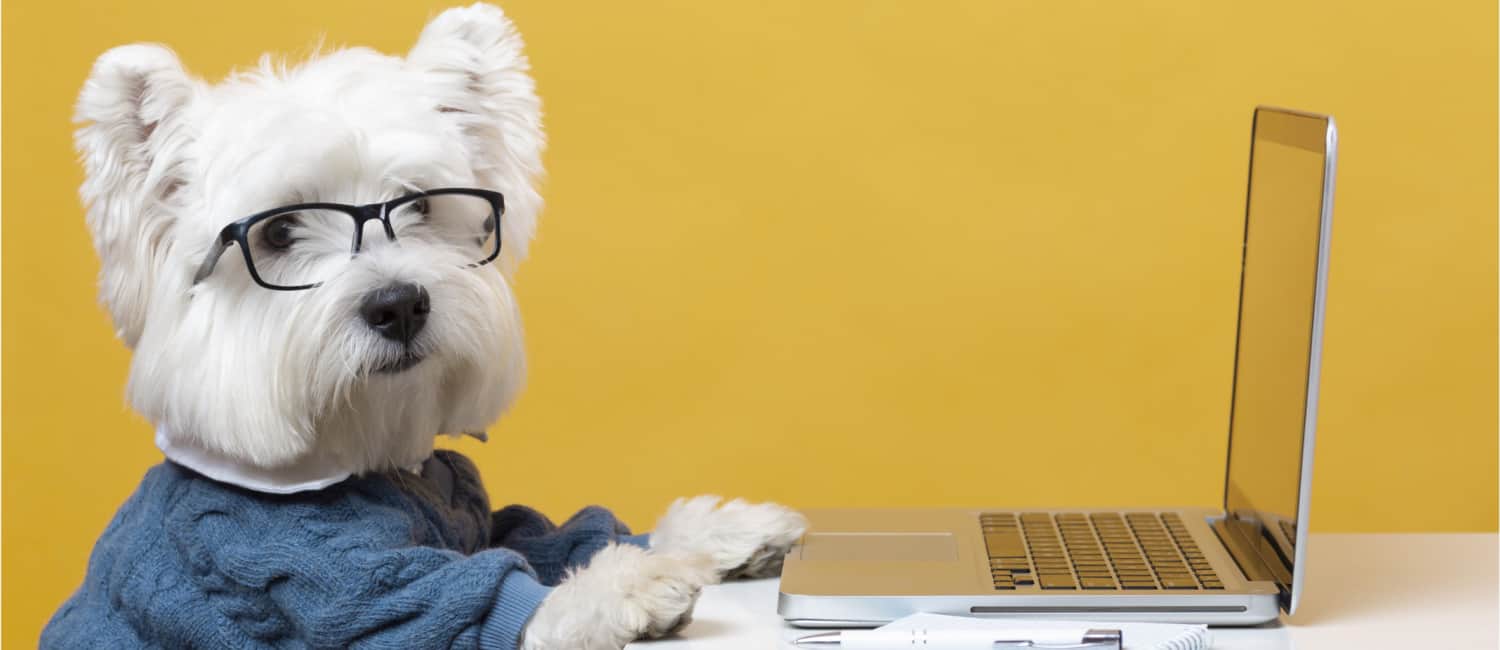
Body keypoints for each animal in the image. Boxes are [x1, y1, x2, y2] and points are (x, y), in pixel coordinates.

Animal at [46, 5, 804, 648]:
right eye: (279, 231)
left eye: (419, 204)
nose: (399, 305)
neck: (362, 456)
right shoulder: (308, 581)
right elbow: (494, 605)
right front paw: (632, 584)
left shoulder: (479, 518)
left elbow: (556, 536)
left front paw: (722, 532)